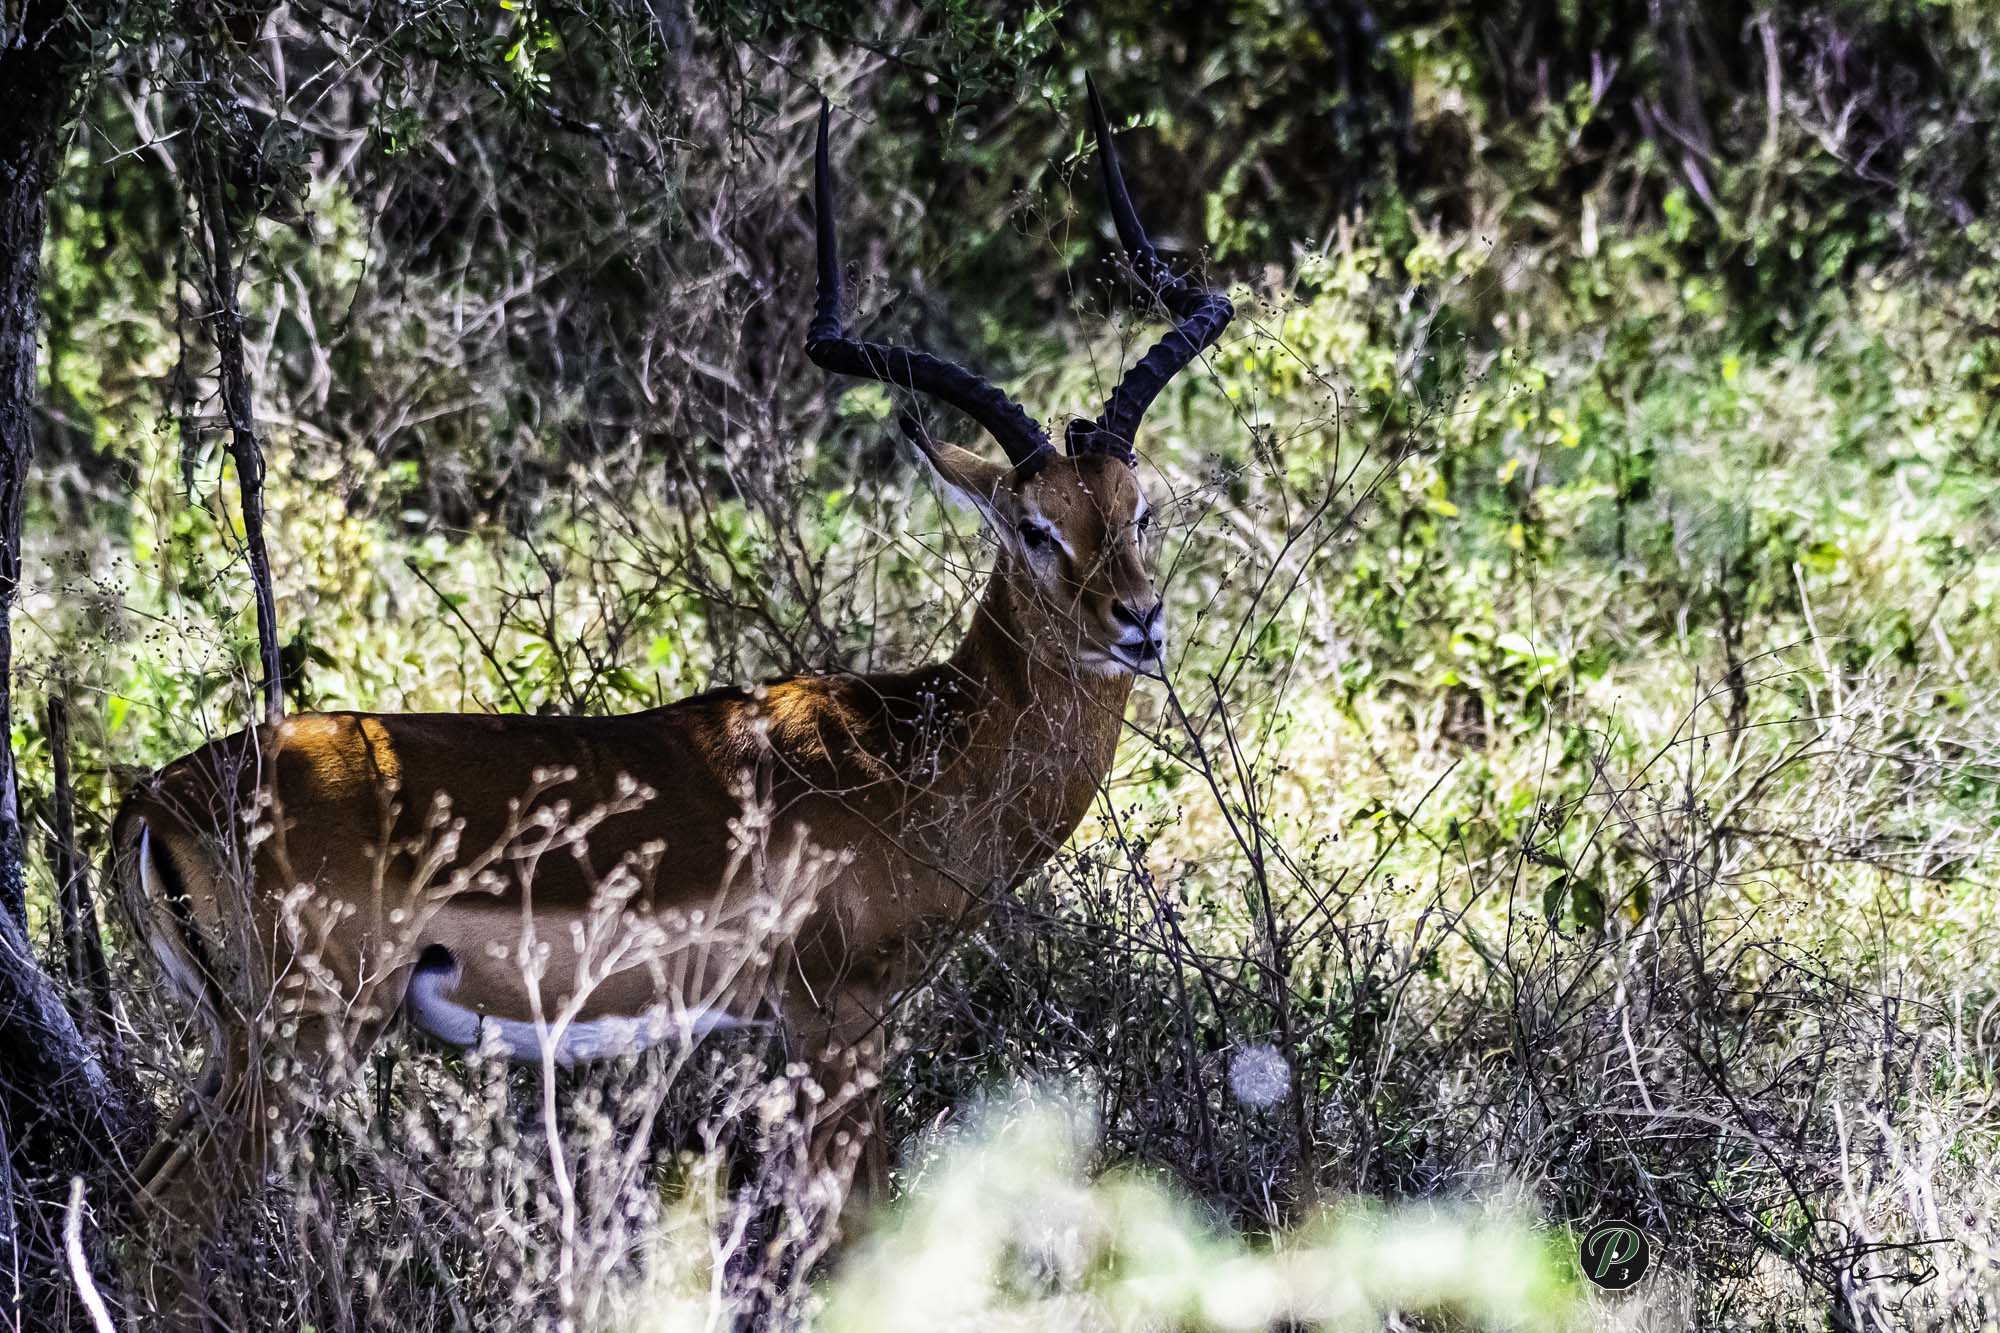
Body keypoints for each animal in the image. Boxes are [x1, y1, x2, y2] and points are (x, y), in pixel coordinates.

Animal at [113, 79, 1231, 1319]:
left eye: (1136, 509)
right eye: (1034, 528)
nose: (1137, 624)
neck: (913, 758)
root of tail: (156, 798)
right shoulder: (835, 1019)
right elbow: (854, 1236)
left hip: (240, 1044)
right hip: (304, 1039)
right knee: (168, 1222)